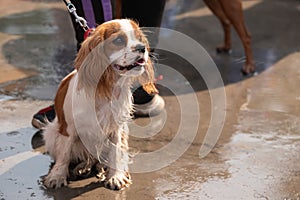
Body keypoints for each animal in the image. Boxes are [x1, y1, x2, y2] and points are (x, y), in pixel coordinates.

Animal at [43, 19, 158, 190]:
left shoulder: (116, 129)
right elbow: (64, 155)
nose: (141, 47)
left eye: (139, 38)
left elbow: (115, 153)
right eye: (119, 40)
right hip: (51, 134)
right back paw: (82, 166)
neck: (106, 90)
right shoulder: (68, 129)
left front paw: (116, 176)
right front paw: (57, 176)